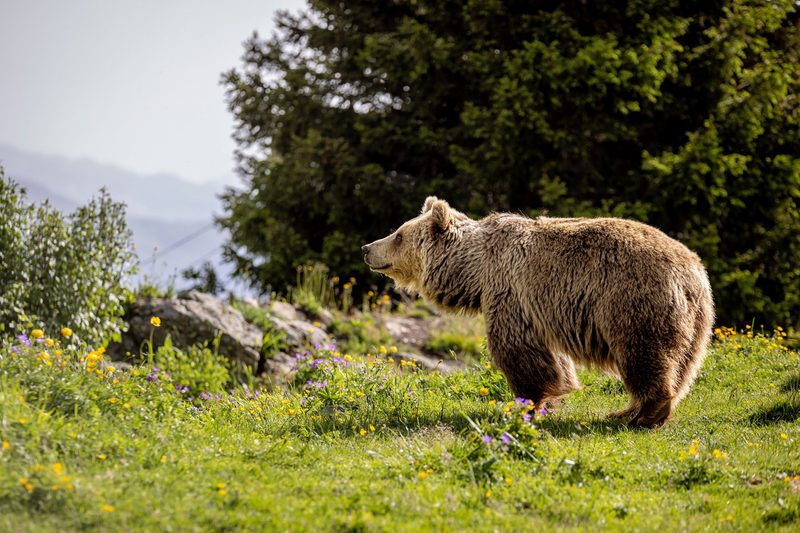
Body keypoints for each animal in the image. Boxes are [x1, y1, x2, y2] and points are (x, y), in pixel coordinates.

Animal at [362, 196, 714, 428]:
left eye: (398, 235)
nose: (367, 248)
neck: (475, 270)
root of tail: (694, 272)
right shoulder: (537, 310)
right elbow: (553, 359)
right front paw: (554, 398)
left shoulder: (511, 294)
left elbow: (521, 354)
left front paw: (525, 404)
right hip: (697, 323)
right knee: (683, 366)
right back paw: (631, 410)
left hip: (634, 301)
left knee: (644, 354)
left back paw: (641, 415)